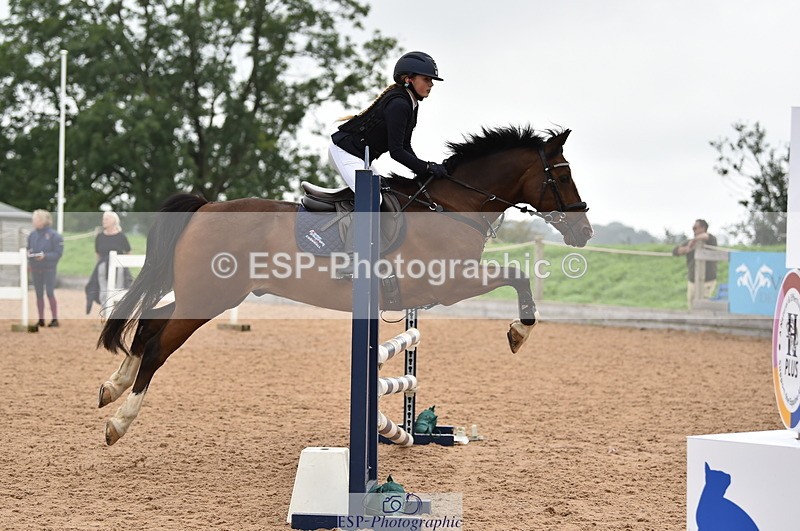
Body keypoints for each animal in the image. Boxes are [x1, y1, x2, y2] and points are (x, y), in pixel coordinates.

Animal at [97, 125, 593, 445]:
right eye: (562, 174)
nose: (584, 231)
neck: (454, 206)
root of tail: (203, 208)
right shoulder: (451, 284)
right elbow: (517, 276)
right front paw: (518, 333)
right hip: (209, 297)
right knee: (158, 345)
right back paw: (120, 421)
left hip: (207, 293)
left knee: (148, 325)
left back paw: (112, 387)